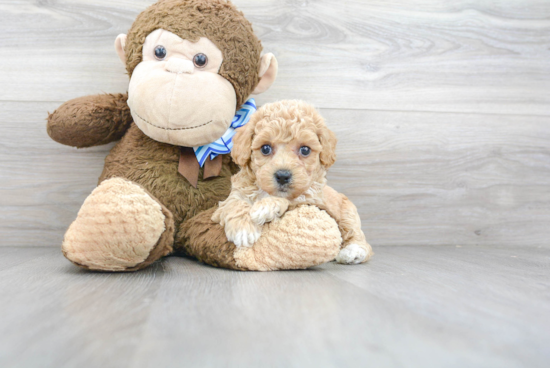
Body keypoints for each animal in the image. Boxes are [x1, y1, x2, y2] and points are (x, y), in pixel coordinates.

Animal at [212, 99, 376, 264]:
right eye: (265, 148)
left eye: (305, 150)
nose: (283, 176)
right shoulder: (231, 198)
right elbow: (235, 204)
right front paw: (243, 229)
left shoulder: (311, 200)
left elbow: (290, 200)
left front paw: (266, 206)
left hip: (348, 213)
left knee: (359, 238)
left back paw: (353, 252)